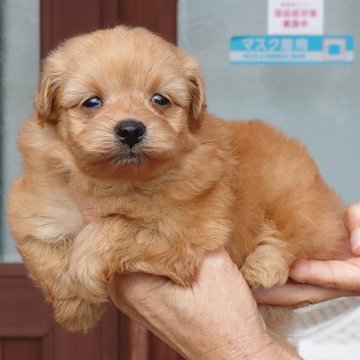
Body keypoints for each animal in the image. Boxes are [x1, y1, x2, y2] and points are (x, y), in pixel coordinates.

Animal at [7, 26, 346, 344]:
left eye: (160, 100)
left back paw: (265, 266)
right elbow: (45, 255)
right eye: (92, 102)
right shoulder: (36, 208)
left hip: (296, 200)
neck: (118, 180)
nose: (130, 129)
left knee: (295, 239)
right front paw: (75, 308)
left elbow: (113, 228)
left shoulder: (183, 231)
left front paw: (85, 272)